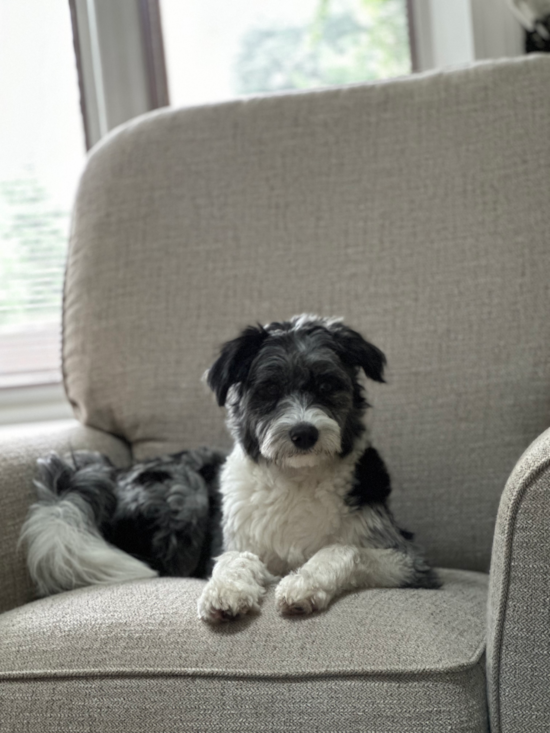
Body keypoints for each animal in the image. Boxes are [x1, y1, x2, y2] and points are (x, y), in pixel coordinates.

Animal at [19, 312, 440, 616]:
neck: (296, 477)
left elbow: (342, 550)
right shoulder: (235, 540)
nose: (304, 433)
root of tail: (109, 475)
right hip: (185, 491)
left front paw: (302, 584)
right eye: (269, 390)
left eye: (327, 385)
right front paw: (226, 590)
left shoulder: (411, 561)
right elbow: (235, 557)